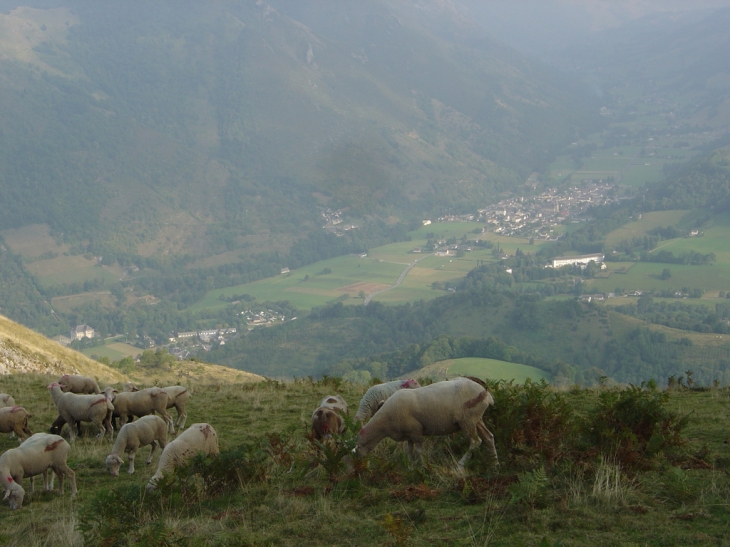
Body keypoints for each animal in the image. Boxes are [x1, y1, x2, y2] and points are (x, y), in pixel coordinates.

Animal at [354, 376, 500, 470]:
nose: (360, 468)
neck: (384, 423)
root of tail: (486, 394)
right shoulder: (409, 434)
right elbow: (409, 451)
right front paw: (410, 467)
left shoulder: (416, 430)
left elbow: (419, 451)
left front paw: (424, 466)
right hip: (477, 419)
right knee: (489, 437)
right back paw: (494, 464)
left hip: (467, 420)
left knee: (475, 442)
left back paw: (460, 465)